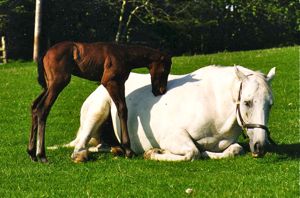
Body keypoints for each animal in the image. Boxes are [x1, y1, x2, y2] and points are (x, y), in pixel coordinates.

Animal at [27, 41, 171, 162]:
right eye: (165, 69)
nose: (161, 90)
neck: (124, 54)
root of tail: (45, 53)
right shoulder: (110, 82)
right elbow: (122, 109)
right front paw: (128, 150)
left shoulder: (120, 83)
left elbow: (122, 109)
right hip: (58, 82)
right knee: (42, 109)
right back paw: (42, 155)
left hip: (48, 85)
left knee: (34, 106)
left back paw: (32, 153)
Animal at [69, 65, 276, 162]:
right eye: (247, 102)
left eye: (270, 105)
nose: (260, 146)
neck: (214, 105)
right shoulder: (172, 136)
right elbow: (192, 152)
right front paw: (153, 153)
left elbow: (234, 149)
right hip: (97, 111)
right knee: (80, 145)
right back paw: (81, 155)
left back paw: (116, 149)